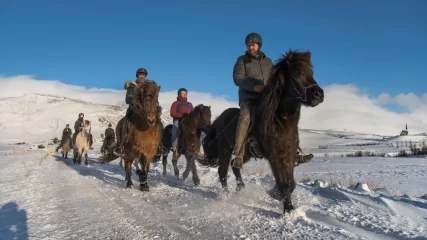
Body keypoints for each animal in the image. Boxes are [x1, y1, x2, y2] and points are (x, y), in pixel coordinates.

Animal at [199, 49, 326, 213]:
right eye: (296, 72)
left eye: (311, 71)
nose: (318, 94)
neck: (279, 122)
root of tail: (220, 118)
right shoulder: (274, 157)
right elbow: (284, 184)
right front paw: (287, 208)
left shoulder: (289, 155)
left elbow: (291, 183)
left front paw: (276, 195)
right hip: (225, 149)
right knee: (223, 172)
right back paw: (226, 196)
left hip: (245, 153)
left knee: (235, 164)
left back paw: (240, 187)